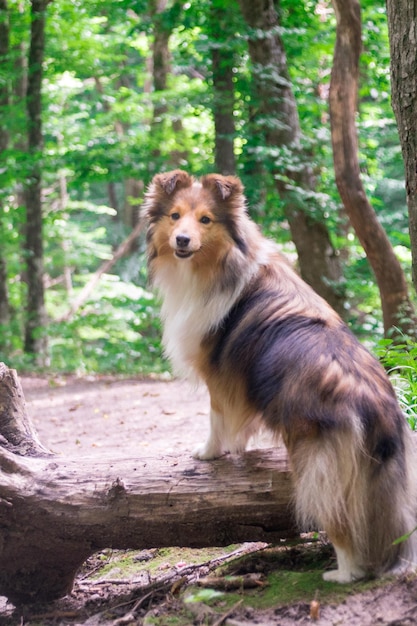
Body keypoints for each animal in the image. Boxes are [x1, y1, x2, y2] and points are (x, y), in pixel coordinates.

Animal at [143, 169, 416, 580]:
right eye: (175, 216)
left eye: (206, 220)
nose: (182, 240)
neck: (222, 264)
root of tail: (375, 401)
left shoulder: (219, 376)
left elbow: (216, 417)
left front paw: (208, 453)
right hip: (383, 474)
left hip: (317, 461)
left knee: (338, 517)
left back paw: (343, 572)